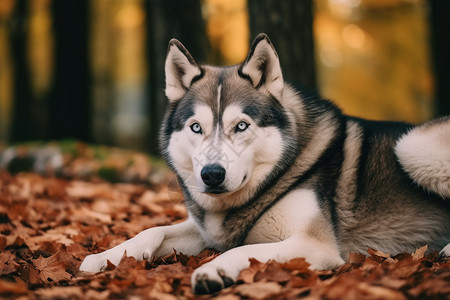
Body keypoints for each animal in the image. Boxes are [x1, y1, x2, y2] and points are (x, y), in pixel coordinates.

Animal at [81, 34, 450, 294]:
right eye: (196, 127)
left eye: (241, 125)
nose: (211, 175)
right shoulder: (209, 232)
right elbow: (153, 230)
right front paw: (104, 257)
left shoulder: (312, 244)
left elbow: (246, 250)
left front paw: (212, 271)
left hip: (411, 146)